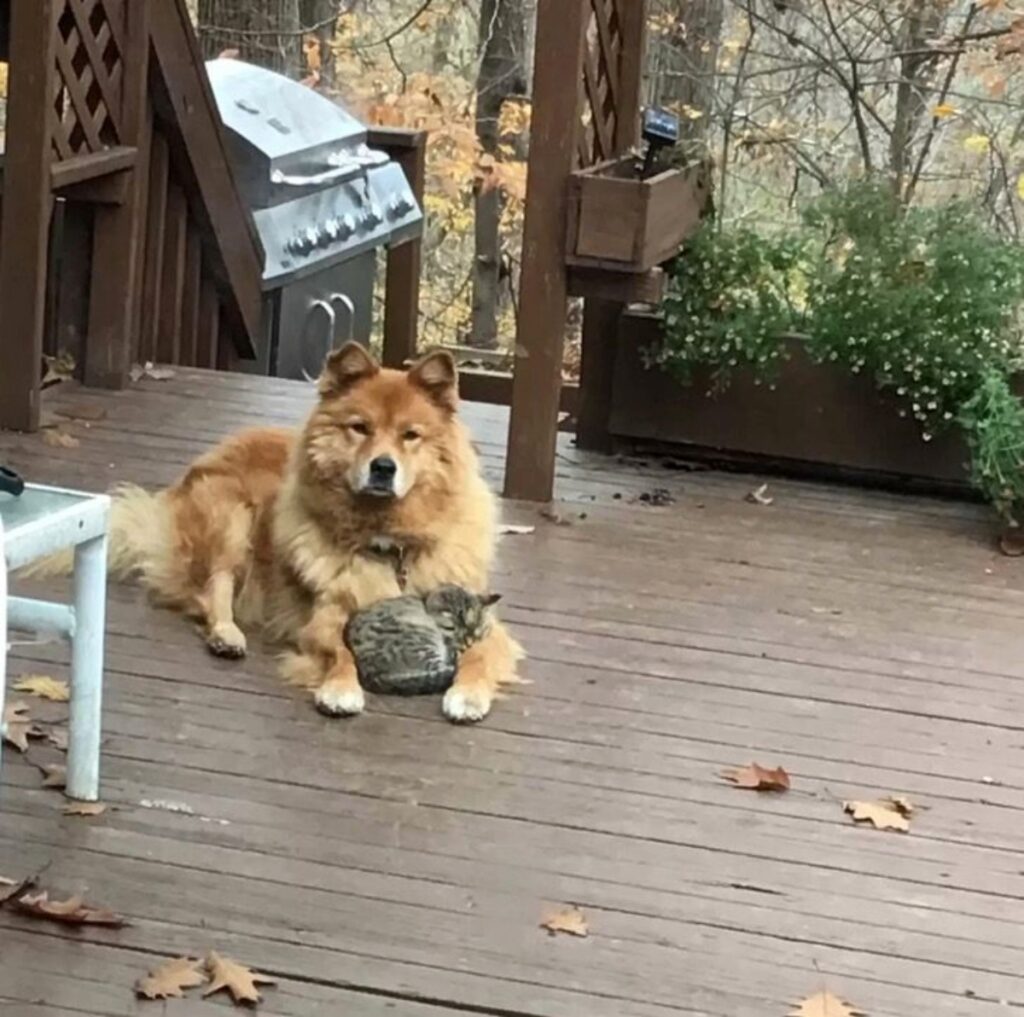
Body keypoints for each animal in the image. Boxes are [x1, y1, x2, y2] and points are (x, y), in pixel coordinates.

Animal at [29, 344, 520, 721]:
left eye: (410, 435)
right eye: (359, 428)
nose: (383, 467)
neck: (388, 542)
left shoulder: (482, 618)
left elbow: (479, 653)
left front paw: (467, 694)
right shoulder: (326, 617)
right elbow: (340, 652)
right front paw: (340, 688)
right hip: (232, 517)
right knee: (211, 589)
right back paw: (227, 635)